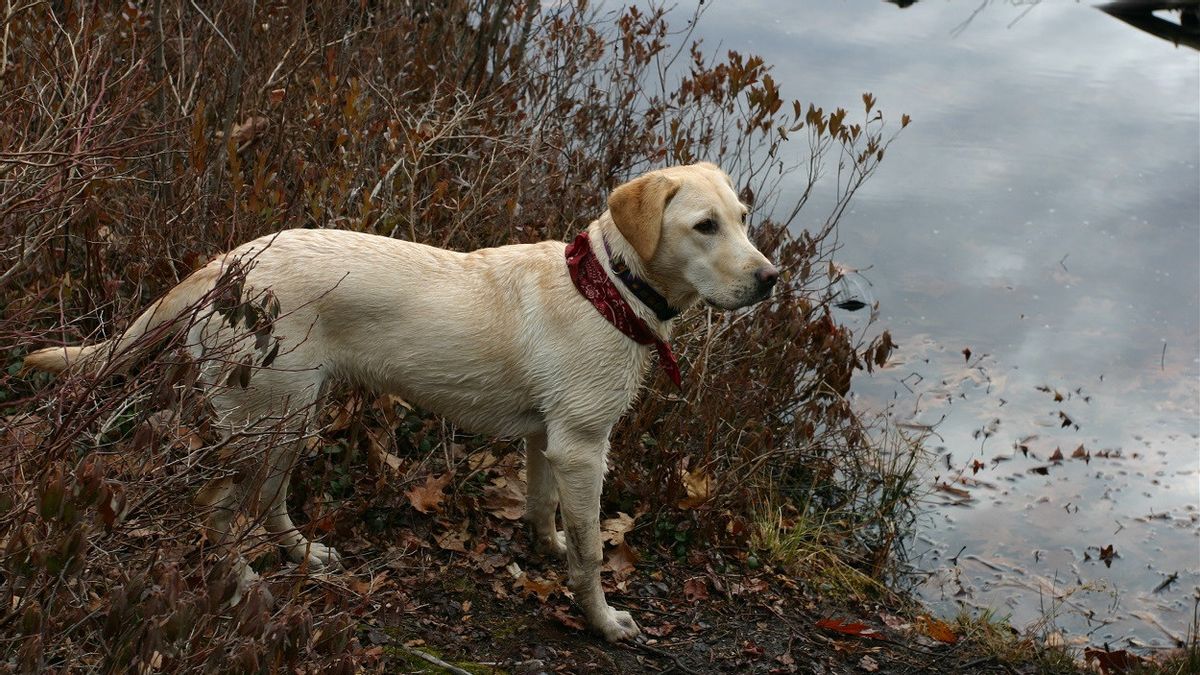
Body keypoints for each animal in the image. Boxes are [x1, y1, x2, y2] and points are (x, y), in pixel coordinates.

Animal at [28, 159, 782, 638]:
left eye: (744, 217)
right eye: (705, 226)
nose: (771, 280)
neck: (610, 288)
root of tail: (227, 264)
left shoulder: (549, 440)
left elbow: (545, 512)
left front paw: (551, 549)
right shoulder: (583, 446)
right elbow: (595, 553)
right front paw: (602, 620)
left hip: (293, 417)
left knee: (266, 503)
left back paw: (302, 555)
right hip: (267, 422)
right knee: (214, 510)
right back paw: (242, 582)